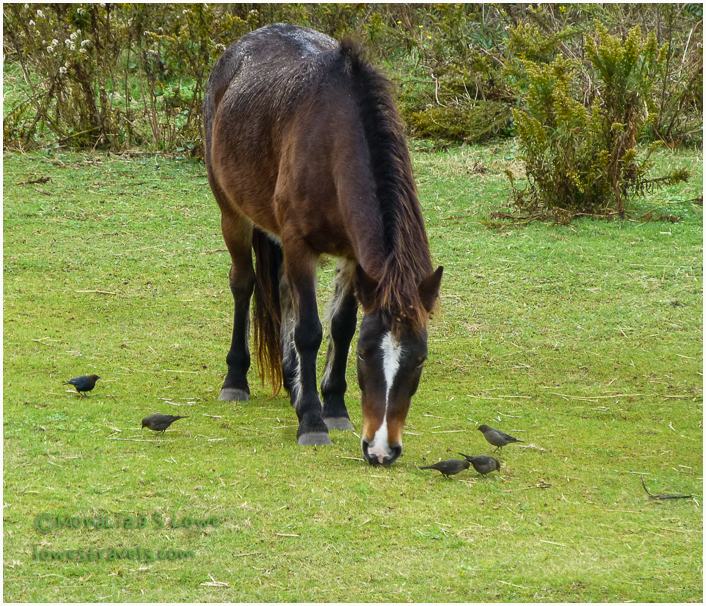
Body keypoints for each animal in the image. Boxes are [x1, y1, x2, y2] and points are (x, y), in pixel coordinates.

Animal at [203, 24, 442, 466]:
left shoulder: (353, 257)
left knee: (281, 293)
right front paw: (312, 422)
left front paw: (331, 406)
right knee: (244, 284)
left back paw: (293, 382)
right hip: (233, 215)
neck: (333, 144)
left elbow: (340, 326)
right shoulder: (300, 246)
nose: (381, 449)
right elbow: (310, 331)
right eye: (366, 355)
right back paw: (237, 379)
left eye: (419, 359)